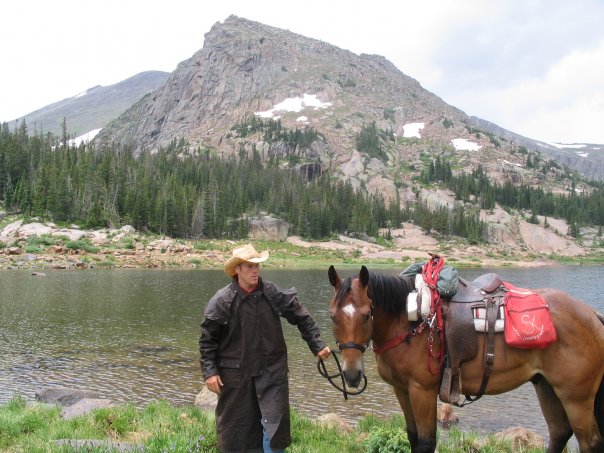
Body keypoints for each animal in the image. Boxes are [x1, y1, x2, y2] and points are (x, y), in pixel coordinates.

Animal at [328, 264, 604, 452]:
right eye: (332, 316)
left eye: (366, 315)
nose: (351, 373)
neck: (409, 323)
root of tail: (591, 314)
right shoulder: (402, 389)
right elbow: (413, 437)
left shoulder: (422, 390)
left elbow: (426, 442)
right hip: (546, 386)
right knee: (559, 433)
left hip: (576, 398)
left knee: (589, 442)